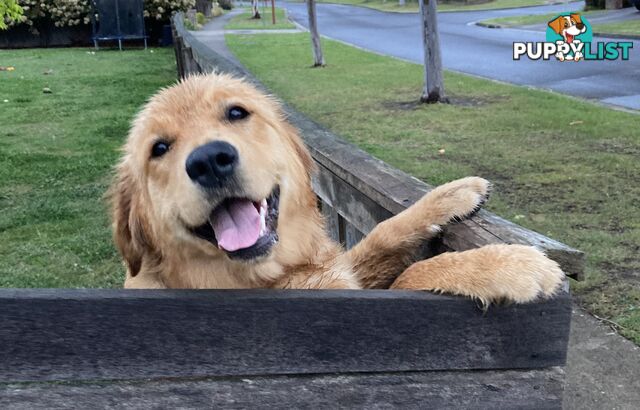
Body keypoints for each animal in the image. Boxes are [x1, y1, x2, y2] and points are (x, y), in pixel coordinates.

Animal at [111, 73, 564, 304]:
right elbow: (410, 277)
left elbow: (383, 233)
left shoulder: (343, 270)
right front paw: (500, 266)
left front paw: (452, 194)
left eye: (236, 112)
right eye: (159, 148)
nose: (208, 160)